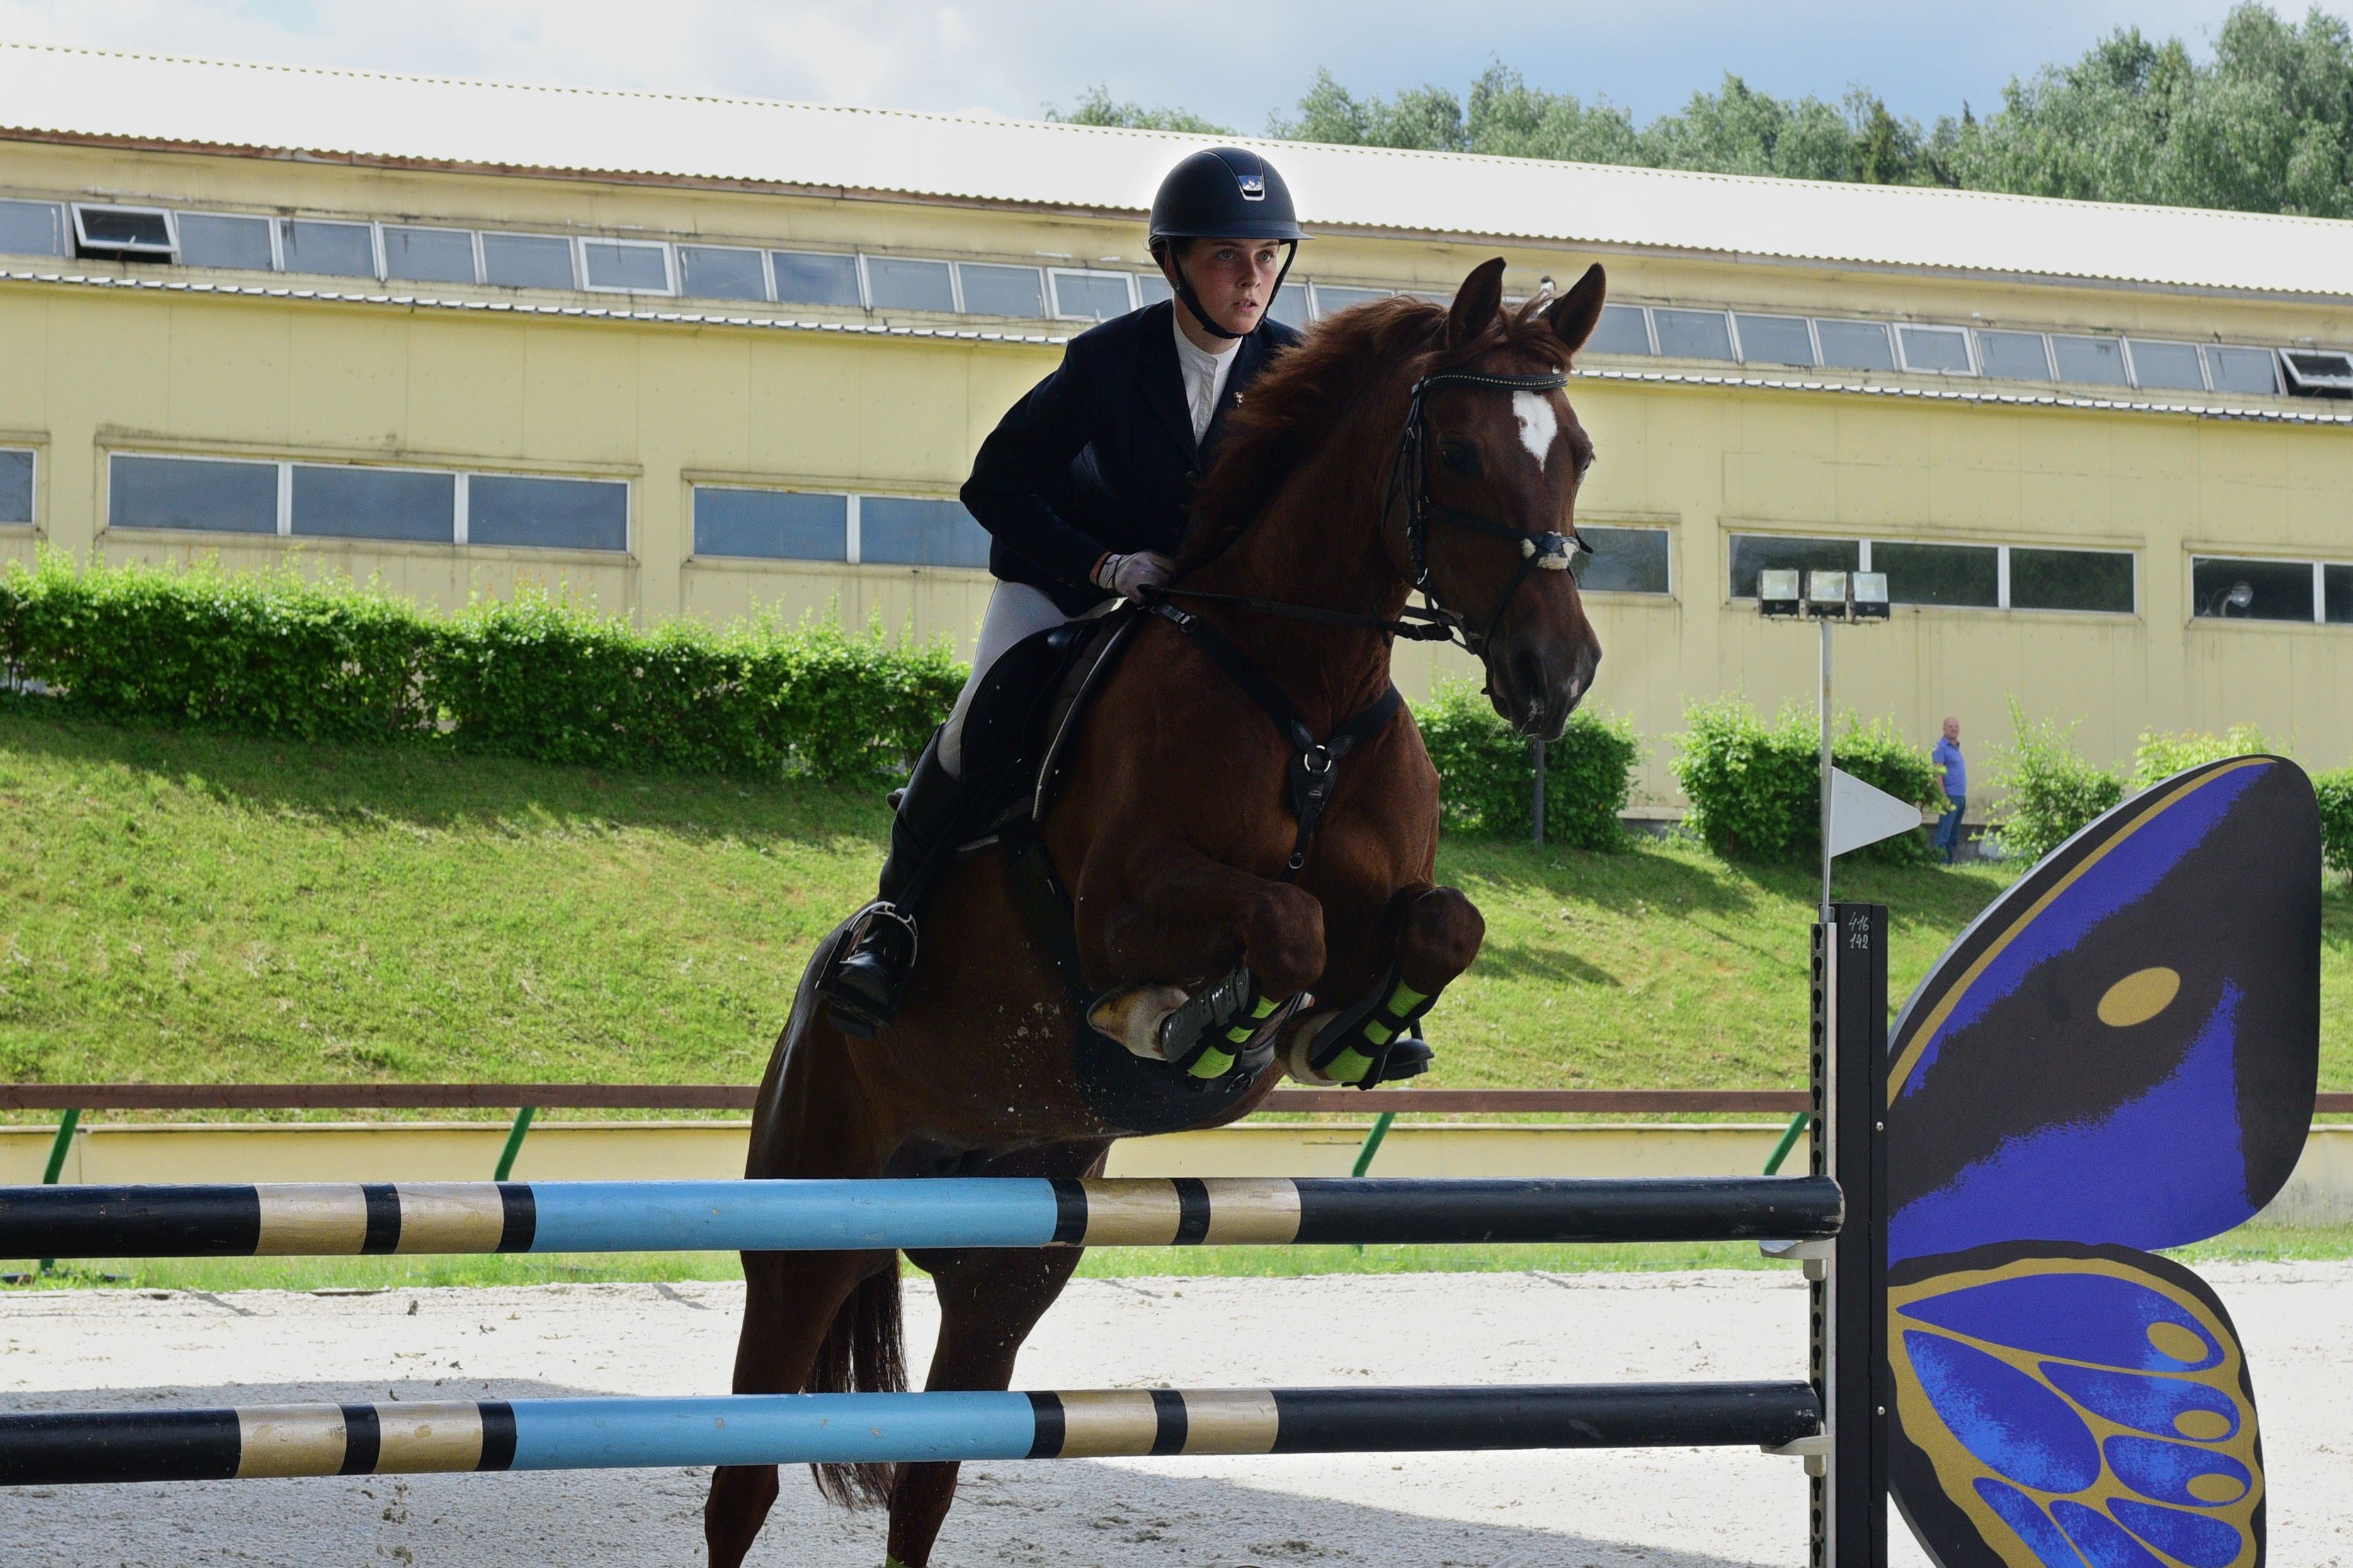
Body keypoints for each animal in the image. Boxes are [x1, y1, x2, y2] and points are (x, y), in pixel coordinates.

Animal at [705, 259, 1609, 1563]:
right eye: (1459, 452)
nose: (1557, 673)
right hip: (807, 1226)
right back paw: (886, 962)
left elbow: (1441, 926)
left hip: (1005, 1262)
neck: (1302, 694)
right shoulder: (1117, 911)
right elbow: (1282, 925)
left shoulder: (1390, 902)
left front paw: (1355, 1037)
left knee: (929, 1475)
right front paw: (1192, 1023)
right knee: (743, 1477)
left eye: (1575, 451)